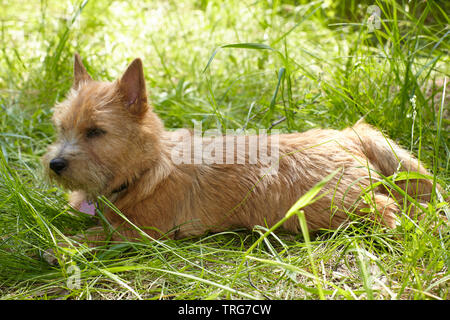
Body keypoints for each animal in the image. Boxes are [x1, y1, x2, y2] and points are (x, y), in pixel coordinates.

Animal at [42, 54, 436, 245]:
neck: (148, 168)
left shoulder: (141, 232)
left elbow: (97, 235)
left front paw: (62, 246)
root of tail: (347, 135)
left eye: (95, 132)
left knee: (389, 207)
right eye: (61, 128)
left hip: (334, 204)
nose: (55, 164)